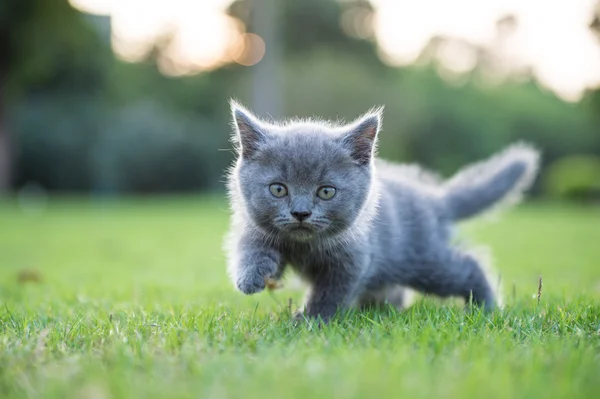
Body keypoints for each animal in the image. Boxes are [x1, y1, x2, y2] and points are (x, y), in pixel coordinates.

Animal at [223, 101, 540, 324]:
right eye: (278, 189)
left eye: (326, 192)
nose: (301, 213)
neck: (304, 246)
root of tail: (433, 199)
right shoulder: (256, 230)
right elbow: (249, 251)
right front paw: (251, 278)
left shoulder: (353, 260)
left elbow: (330, 293)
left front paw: (310, 321)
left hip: (423, 260)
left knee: (467, 266)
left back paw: (485, 308)